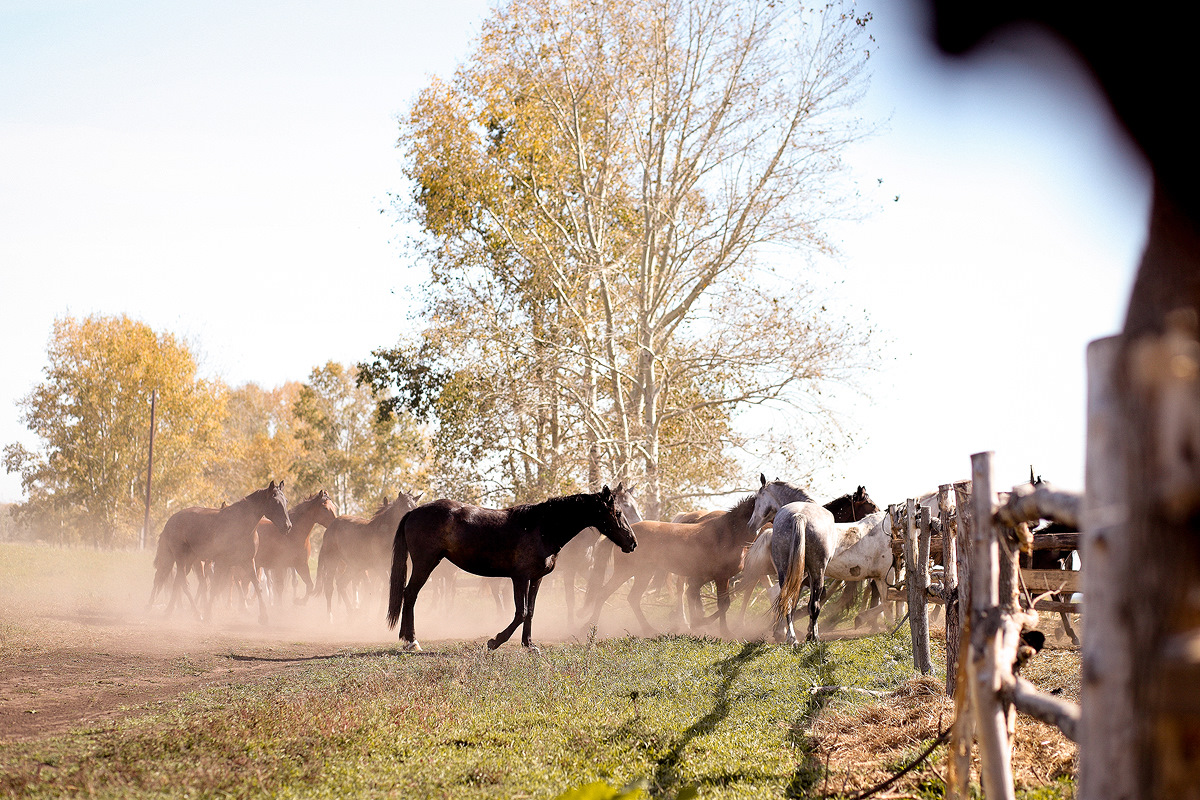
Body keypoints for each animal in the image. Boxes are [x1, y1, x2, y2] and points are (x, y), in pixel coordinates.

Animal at [148, 482, 291, 623]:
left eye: (286, 501)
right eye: (275, 501)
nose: (288, 526)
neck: (242, 525)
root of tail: (170, 522)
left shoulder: (248, 561)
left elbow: (257, 585)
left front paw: (263, 616)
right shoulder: (221, 562)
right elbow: (215, 586)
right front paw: (208, 614)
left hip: (187, 560)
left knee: (174, 581)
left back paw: (168, 611)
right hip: (179, 558)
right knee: (178, 582)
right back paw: (194, 613)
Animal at [314, 491, 422, 623]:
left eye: (415, 506)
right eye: (403, 507)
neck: (384, 534)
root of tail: (330, 528)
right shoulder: (379, 568)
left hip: (354, 566)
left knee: (341, 584)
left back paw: (352, 612)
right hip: (332, 561)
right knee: (330, 587)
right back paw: (330, 617)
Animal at [391, 489, 638, 652]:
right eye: (617, 512)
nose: (633, 542)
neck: (543, 528)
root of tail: (414, 513)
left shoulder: (536, 579)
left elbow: (531, 612)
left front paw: (529, 645)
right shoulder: (520, 578)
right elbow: (521, 612)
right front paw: (495, 641)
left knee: (407, 595)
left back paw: (406, 638)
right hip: (425, 563)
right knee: (410, 594)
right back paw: (412, 641)